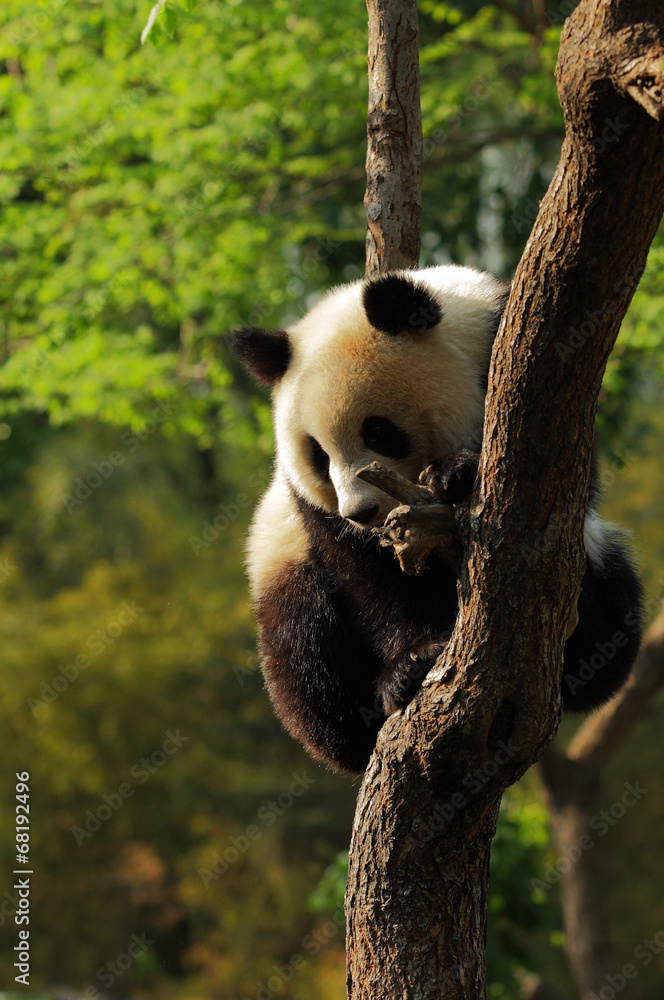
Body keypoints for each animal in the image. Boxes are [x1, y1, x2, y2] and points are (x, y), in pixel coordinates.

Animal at [233, 264, 643, 773]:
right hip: (281, 567)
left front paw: (456, 473)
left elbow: (559, 481)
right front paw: (409, 667)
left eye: (378, 431)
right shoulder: (310, 510)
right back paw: (353, 730)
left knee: (611, 609)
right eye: (317, 454)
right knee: (304, 651)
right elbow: (371, 577)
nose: (362, 512)